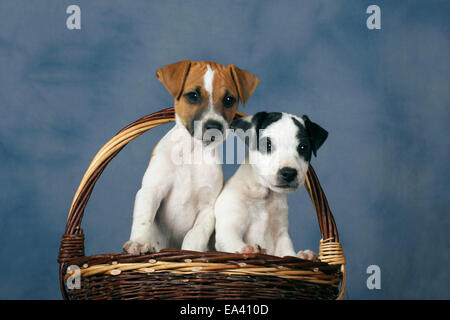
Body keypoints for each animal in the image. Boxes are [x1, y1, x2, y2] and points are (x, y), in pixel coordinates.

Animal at [123, 61, 258, 254]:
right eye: (193, 96)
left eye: (229, 99)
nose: (213, 126)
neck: (192, 153)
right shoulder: (151, 191)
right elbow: (144, 219)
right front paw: (139, 242)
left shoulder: (207, 210)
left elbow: (194, 235)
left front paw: (191, 253)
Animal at [214, 111, 326, 258]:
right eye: (267, 145)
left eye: (303, 147)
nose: (289, 173)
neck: (265, 196)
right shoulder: (228, 229)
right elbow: (233, 242)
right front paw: (247, 249)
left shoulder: (281, 235)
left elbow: (288, 253)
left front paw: (299, 256)